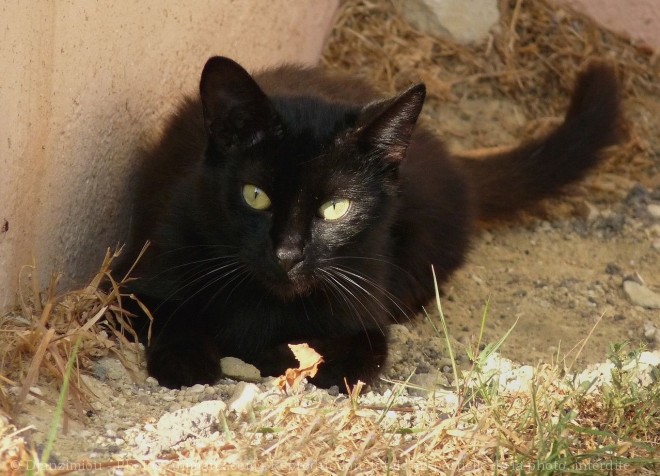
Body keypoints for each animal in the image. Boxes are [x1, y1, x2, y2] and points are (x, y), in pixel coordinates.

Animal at [114, 56, 624, 390]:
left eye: (335, 209)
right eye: (255, 196)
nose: (287, 253)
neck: (270, 303)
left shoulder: (365, 315)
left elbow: (348, 361)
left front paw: (279, 354)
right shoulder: (135, 278)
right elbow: (170, 314)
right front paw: (187, 360)